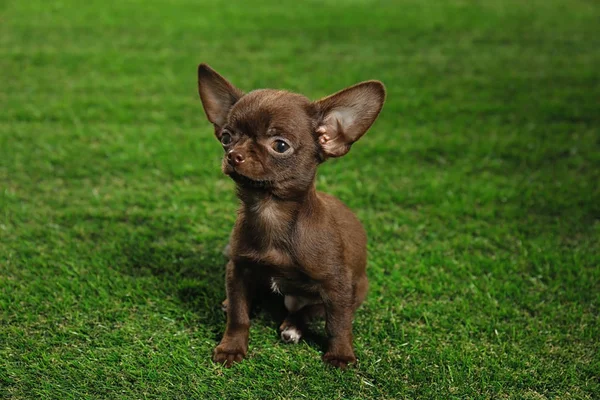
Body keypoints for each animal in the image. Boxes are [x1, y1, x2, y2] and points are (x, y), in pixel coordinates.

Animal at [197, 63, 384, 368]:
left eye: (280, 145)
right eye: (226, 137)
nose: (234, 154)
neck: (270, 210)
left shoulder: (337, 285)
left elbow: (339, 323)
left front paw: (341, 354)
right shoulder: (238, 270)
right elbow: (239, 315)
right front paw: (231, 348)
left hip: (356, 290)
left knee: (311, 310)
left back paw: (293, 326)